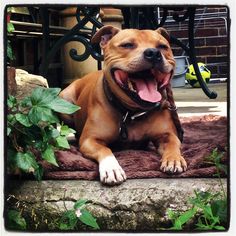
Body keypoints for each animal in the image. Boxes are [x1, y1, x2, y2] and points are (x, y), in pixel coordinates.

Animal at [60, 25, 187, 184]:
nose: (153, 53)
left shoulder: (167, 135)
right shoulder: (90, 140)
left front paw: (174, 159)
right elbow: (105, 150)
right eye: (127, 45)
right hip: (65, 102)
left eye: (163, 47)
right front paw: (112, 168)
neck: (132, 112)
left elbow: (173, 143)